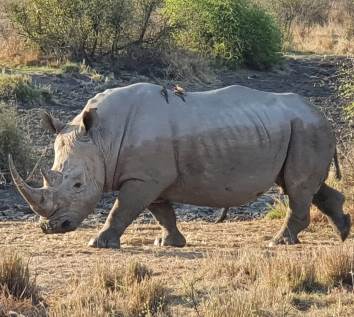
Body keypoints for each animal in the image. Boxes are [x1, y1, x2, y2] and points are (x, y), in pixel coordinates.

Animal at [9, 82, 352, 248]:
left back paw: (278, 242)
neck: (102, 138)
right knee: (304, 185)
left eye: (78, 185)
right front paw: (168, 242)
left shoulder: (143, 178)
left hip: (307, 128)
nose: (51, 228)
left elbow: (122, 209)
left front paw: (98, 243)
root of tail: (320, 113)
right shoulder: (151, 177)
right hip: (301, 129)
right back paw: (343, 234)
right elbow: (161, 212)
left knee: (297, 187)